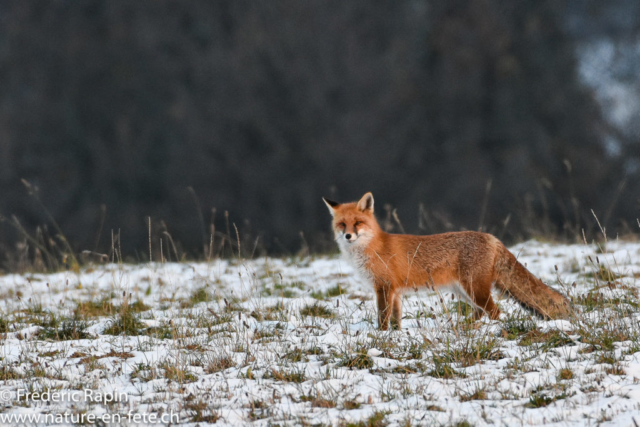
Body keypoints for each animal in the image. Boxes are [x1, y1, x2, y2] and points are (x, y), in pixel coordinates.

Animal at [324, 193, 568, 332]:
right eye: (342, 225)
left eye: (358, 223)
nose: (348, 236)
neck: (372, 247)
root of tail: (492, 238)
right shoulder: (395, 291)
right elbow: (396, 319)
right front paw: (395, 334)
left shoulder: (384, 287)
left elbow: (383, 318)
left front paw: (381, 336)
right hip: (464, 291)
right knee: (481, 312)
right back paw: (466, 327)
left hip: (474, 289)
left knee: (495, 312)